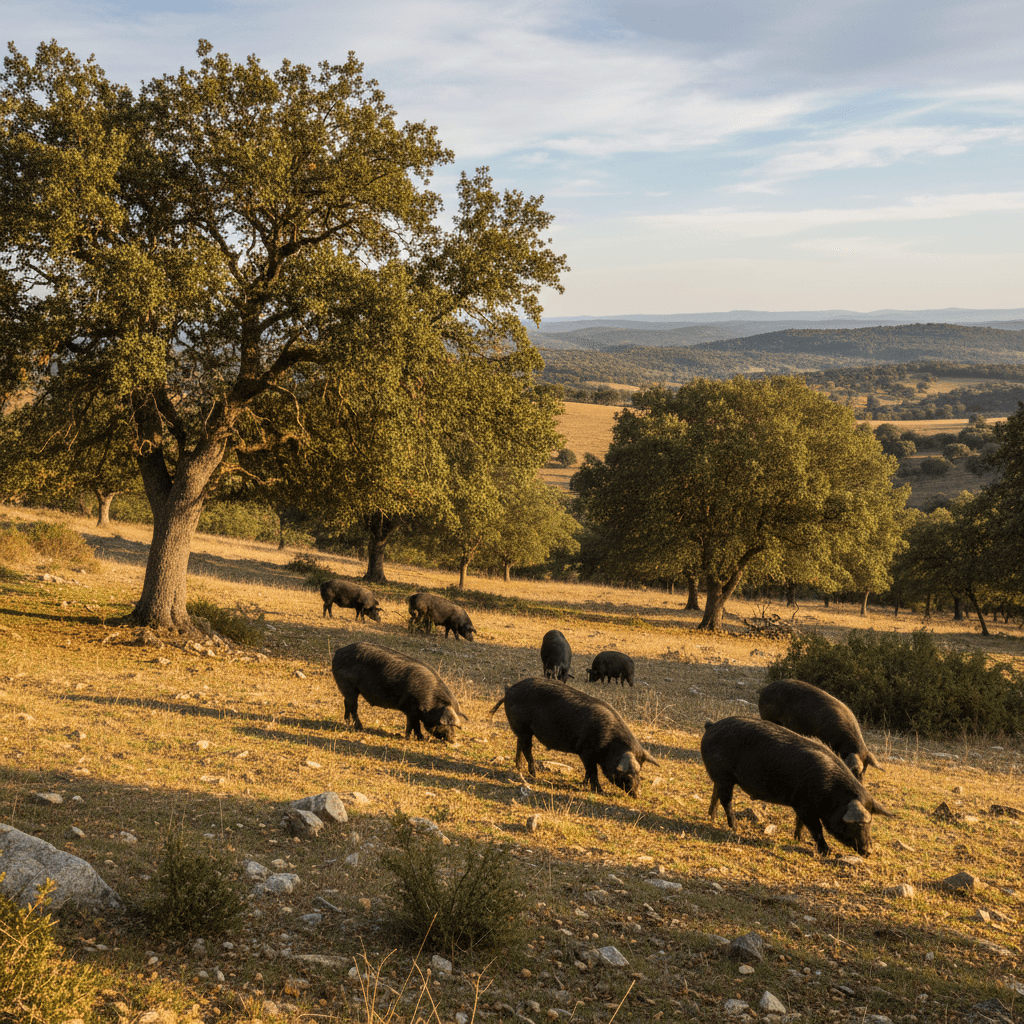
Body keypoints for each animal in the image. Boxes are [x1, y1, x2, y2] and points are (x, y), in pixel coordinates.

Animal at [331, 642, 466, 741]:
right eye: (447, 724)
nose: (454, 739)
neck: (432, 700)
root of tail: (338, 651)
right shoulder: (411, 709)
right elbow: (414, 725)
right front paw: (415, 738)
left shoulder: (412, 711)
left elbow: (413, 725)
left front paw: (413, 737)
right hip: (348, 686)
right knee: (353, 707)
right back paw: (360, 728)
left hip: (349, 689)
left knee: (346, 703)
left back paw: (347, 722)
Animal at [489, 677, 657, 796]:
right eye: (629, 775)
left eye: (640, 771)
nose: (638, 795)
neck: (610, 744)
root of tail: (508, 691)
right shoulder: (586, 751)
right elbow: (593, 771)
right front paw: (599, 791)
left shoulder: (588, 755)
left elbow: (588, 771)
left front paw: (583, 784)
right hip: (523, 727)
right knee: (526, 748)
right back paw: (534, 774)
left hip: (523, 730)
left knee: (519, 745)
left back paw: (519, 768)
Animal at [700, 717, 891, 857]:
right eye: (858, 825)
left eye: (871, 824)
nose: (869, 851)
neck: (832, 792)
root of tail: (711, 726)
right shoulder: (804, 804)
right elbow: (816, 828)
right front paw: (827, 852)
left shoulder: (802, 804)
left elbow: (800, 823)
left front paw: (798, 839)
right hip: (724, 774)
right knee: (726, 800)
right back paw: (735, 827)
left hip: (721, 777)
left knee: (715, 793)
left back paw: (712, 818)